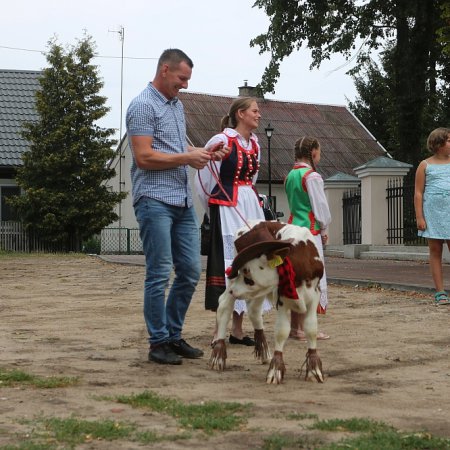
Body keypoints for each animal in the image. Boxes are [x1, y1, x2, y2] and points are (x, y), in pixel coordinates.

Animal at [209, 221, 326, 384]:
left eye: (248, 276)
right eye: (241, 271)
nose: (232, 291)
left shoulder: (314, 296)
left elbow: (311, 329)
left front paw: (314, 370)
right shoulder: (282, 300)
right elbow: (282, 331)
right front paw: (276, 370)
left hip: (260, 291)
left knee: (254, 311)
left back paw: (264, 352)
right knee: (224, 305)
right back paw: (218, 355)